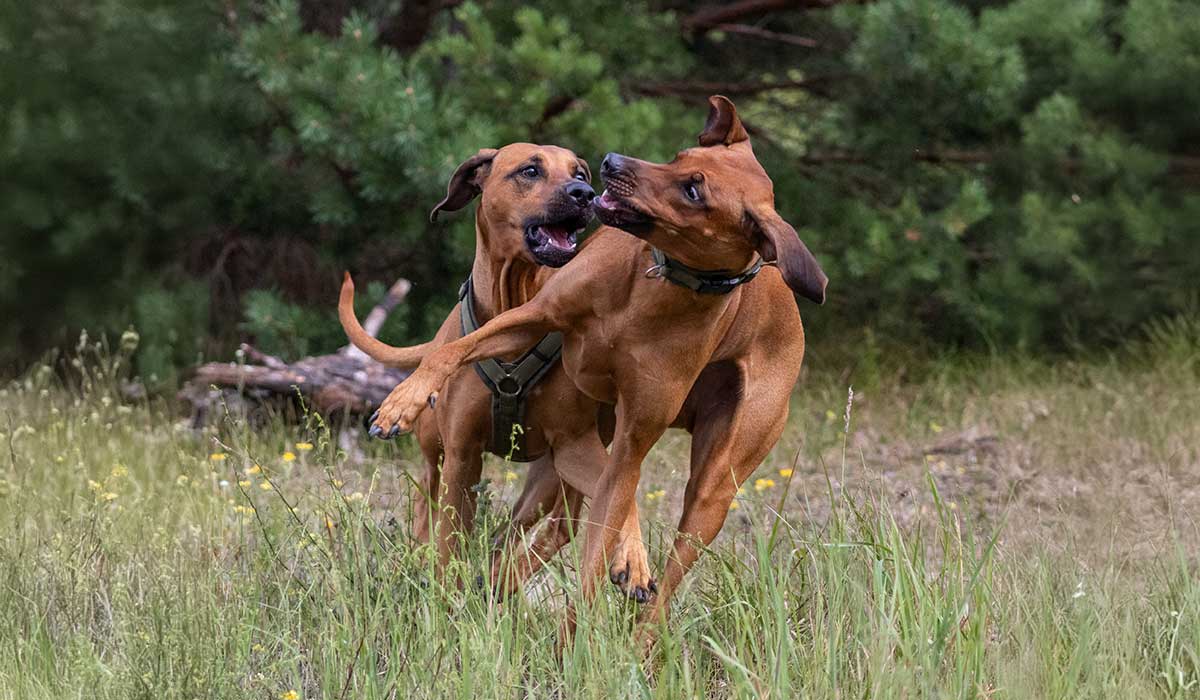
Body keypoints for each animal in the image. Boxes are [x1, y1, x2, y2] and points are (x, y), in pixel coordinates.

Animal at [369, 96, 830, 638]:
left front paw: (579, 634)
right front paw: (401, 402)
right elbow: (455, 352)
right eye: (678, 157)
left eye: (694, 189)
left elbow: (601, 545)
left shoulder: (620, 445)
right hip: (522, 467)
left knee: (656, 568)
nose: (601, 174)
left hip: (710, 483)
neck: (656, 288)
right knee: (503, 521)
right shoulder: (527, 331)